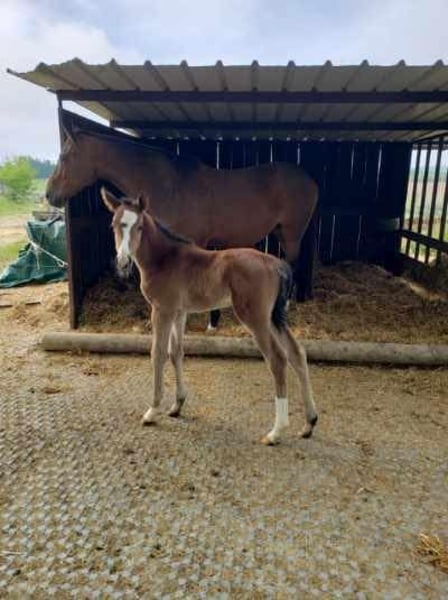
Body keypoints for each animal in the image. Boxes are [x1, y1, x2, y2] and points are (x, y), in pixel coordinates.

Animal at [46, 126, 318, 328]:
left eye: (63, 157)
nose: (50, 195)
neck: (167, 184)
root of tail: (310, 180)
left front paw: (209, 320)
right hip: (282, 231)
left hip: (292, 232)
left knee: (293, 261)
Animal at [101, 187, 318, 445]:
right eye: (114, 225)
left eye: (140, 226)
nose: (123, 262)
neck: (165, 259)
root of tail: (276, 264)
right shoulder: (179, 312)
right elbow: (176, 353)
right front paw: (177, 405)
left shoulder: (162, 310)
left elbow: (158, 353)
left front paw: (152, 411)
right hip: (274, 318)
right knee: (297, 353)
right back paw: (309, 423)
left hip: (255, 318)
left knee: (277, 359)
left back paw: (276, 432)